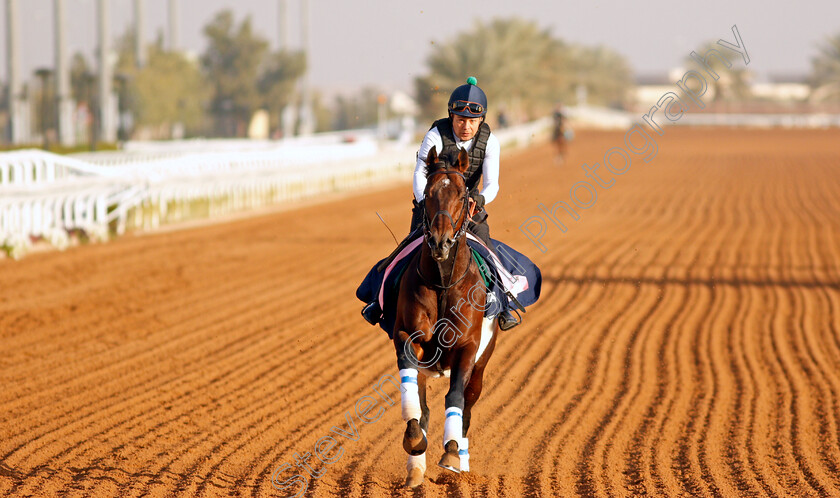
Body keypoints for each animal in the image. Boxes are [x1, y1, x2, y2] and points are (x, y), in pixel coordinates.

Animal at [394, 146, 498, 488]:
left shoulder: (468, 346)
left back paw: (460, 464)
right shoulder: (408, 335)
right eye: (428, 193)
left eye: (462, 194)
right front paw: (414, 441)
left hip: (482, 362)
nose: (441, 242)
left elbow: (455, 396)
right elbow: (414, 394)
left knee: (468, 403)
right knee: (423, 403)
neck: (442, 282)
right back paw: (415, 471)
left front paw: (451, 453)